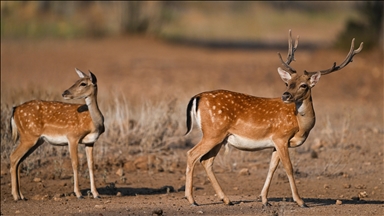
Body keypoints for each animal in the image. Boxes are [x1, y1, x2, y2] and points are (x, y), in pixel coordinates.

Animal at [10, 69, 104, 201]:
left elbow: (91, 165)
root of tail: (15, 109)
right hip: (28, 137)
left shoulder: (90, 141)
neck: (94, 124)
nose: (65, 93)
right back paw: (15, 196)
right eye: (76, 81)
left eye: (83, 83)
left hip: (35, 140)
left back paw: (22, 196)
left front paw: (96, 194)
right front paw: (79, 194)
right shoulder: (72, 136)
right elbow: (75, 163)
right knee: (13, 157)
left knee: (19, 160)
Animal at [184, 29, 364, 207]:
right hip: (213, 132)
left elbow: (272, 167)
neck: (301, 126)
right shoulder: (281, 137)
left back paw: (226, 200)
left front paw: (264, 199)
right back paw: (192, 200)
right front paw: (300, 201)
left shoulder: (276, 143)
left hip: (220, 137)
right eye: (288, 83)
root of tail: (197, 97)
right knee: (192, 154)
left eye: (303, 85)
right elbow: (289, 167)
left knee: (206, 161)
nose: (285, 95)